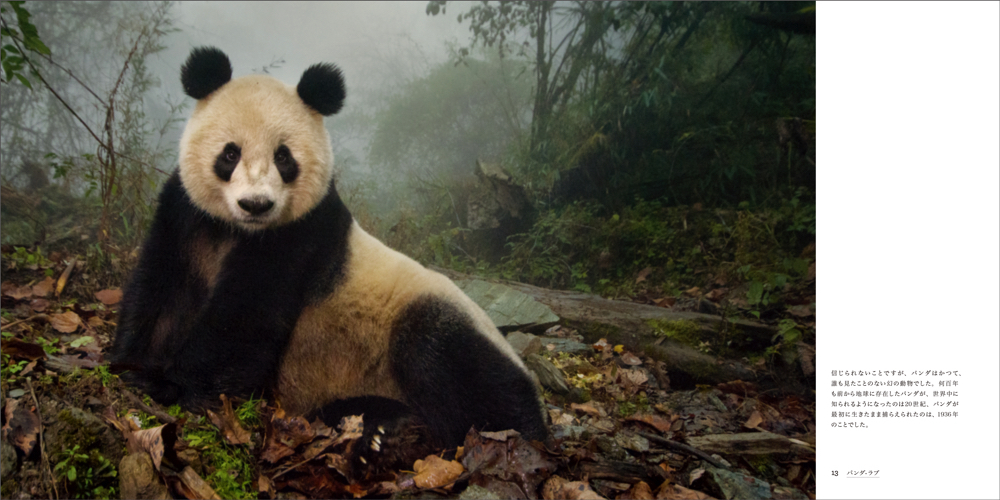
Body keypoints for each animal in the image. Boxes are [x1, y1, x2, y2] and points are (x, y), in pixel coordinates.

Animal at [113, 47, 552, 458]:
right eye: (230, 153)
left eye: (283, 157)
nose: (256, 204)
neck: (238, 231)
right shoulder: (185, 214)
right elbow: (161, 289)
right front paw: (131, 363)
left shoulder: (300, 233)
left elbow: (244, 319)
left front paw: (169, 382)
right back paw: (382, 427)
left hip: (435, 318)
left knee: (455, 364)